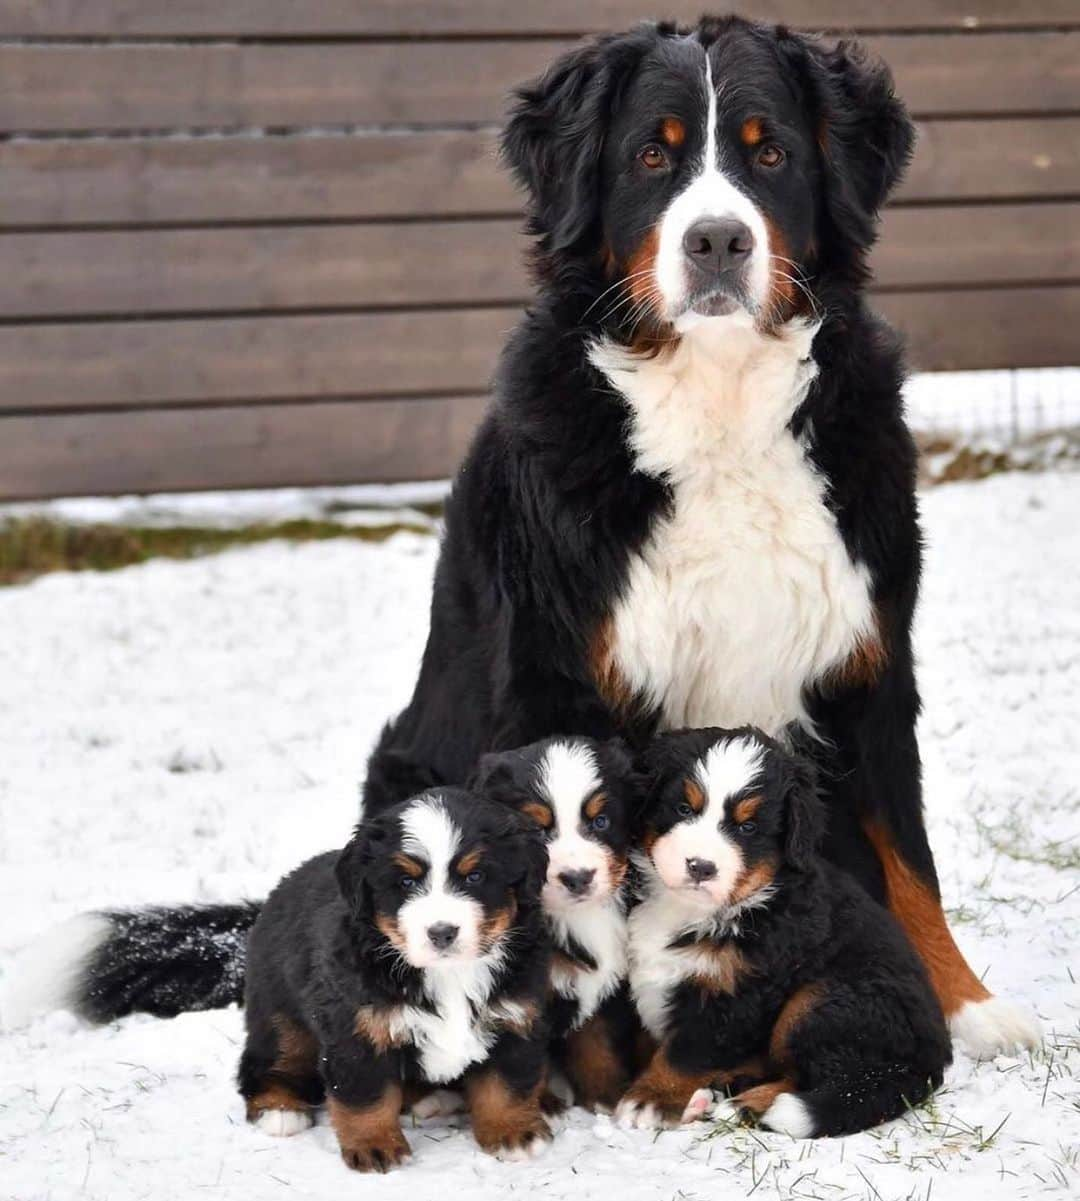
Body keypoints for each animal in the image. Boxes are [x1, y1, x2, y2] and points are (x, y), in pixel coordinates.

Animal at [8, 14, 1037, 1056]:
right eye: (652, 156)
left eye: (772, 153)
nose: (716, 239)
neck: (719, 404)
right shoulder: (562, 678)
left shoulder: (865, 662)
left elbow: (908, 857)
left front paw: (968, 1003)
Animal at [240, 787, 552, 1172]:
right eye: (406, 882)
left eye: (475, 876)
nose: (442, 932)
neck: (449, 973)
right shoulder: (358, 1028)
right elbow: (366, 1097)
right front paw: (375, 1146)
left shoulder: (514, 1015)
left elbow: (506, 1085)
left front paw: (514, 1134)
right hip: (279, 1008)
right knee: (271, 1058)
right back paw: (280, 1110)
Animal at [473, 735, 643, 1109]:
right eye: (538, 830)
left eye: (600, 822)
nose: (577, 877)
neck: (576, 918)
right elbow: (530, 1066)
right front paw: (543, 1106)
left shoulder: (605, 988)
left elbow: (598, 1048)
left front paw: (605, 1097)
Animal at [619, 725, 951, 1138]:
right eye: (684, 809)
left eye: (747, 828)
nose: (700, 866)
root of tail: (931, 1062)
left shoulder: (737, 993)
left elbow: (685, 1054)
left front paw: (649, 1099)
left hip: (823, 1000)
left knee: (825, 1079)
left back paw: (745, 1106)